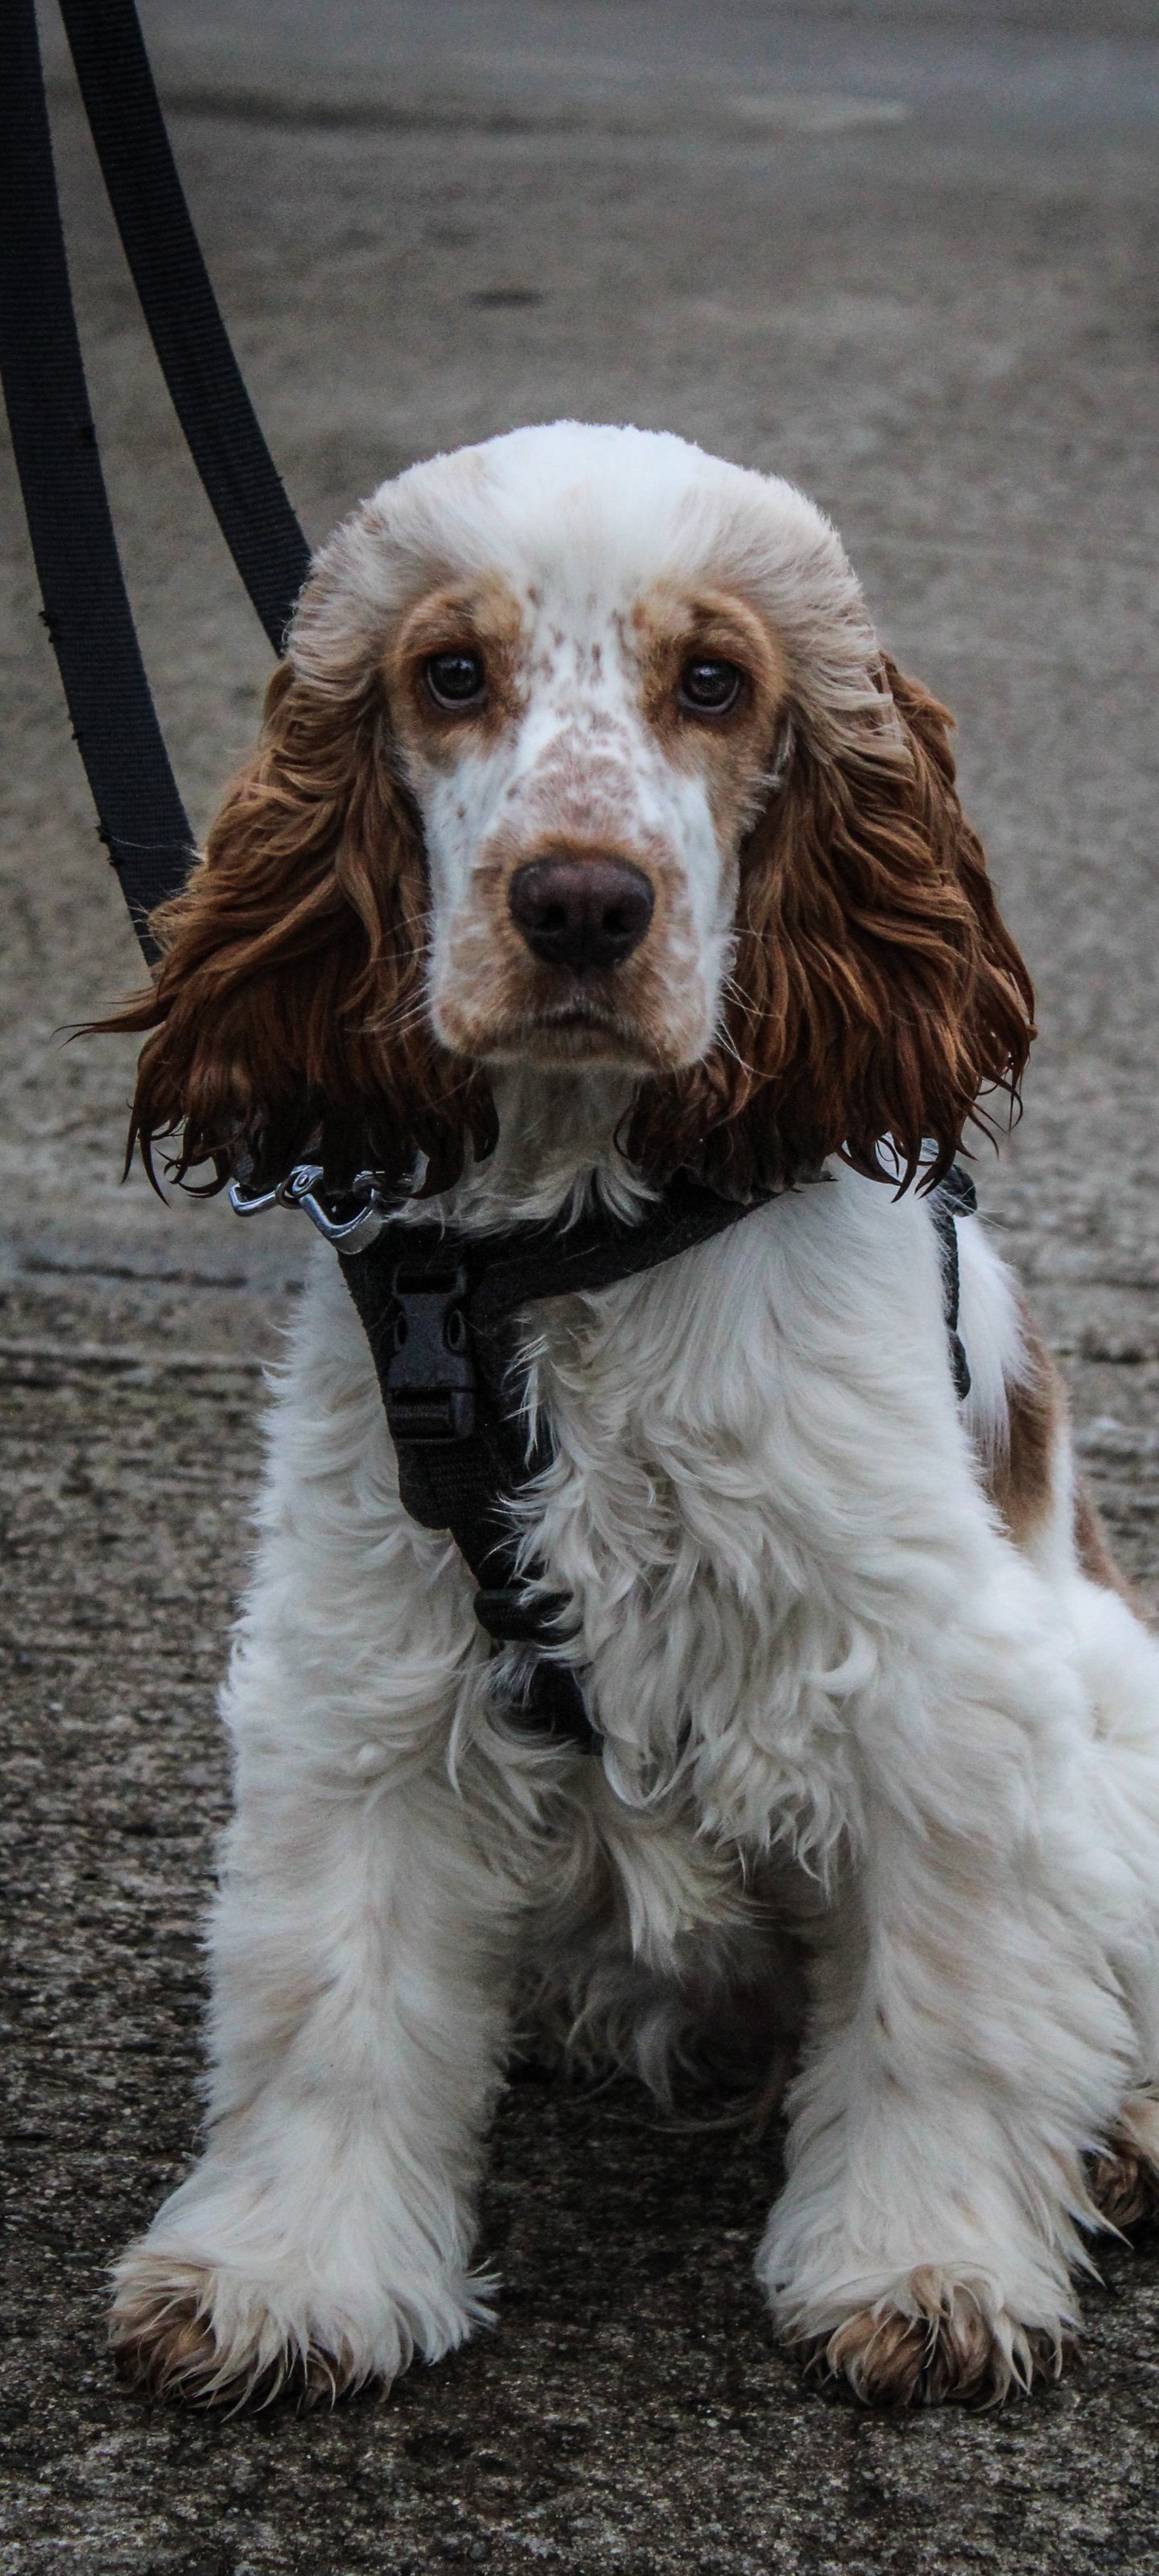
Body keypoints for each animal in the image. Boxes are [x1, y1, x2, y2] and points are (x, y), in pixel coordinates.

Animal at [105, 421, 1159, 2408]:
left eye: (715, 684)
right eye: (452, 675)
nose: (582, 904)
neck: (584, 1227)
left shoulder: (939, 1685)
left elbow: (948, 2008)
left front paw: (923, 2267)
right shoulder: (367, 1659)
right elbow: (331, 1996)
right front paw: (286, 2277)